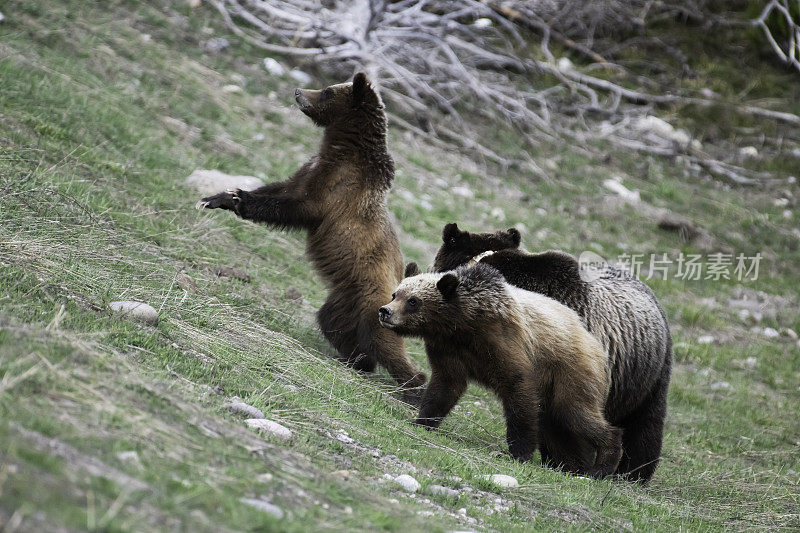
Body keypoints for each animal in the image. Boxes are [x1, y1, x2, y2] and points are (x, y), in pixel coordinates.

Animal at [195, 72, 424, 402]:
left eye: (327, 91)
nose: (298, 90)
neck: (343, 150)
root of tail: (400, 284)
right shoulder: (310, 172)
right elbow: (280, 189)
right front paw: (218, 197)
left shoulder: (336, 189)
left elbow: (293, 207)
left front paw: (237, 199)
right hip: (343, 300)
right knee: (334, 325)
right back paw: (356, 359)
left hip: (375, 302)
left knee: (385, 343)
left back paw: (414, 388)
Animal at [380, 262, 624, 478]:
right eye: (396, 294)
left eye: (413, 301)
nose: (384, 311)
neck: (463, 323)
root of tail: (599, 348)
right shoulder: (449, 350)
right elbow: (444, 387)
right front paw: (422, 421)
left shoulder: (503, 344)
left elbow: (518, 391)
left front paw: (520, 453)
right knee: (558, 427)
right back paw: (571, 464)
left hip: (571, 372)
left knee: (575, 413)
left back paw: (601, 465)